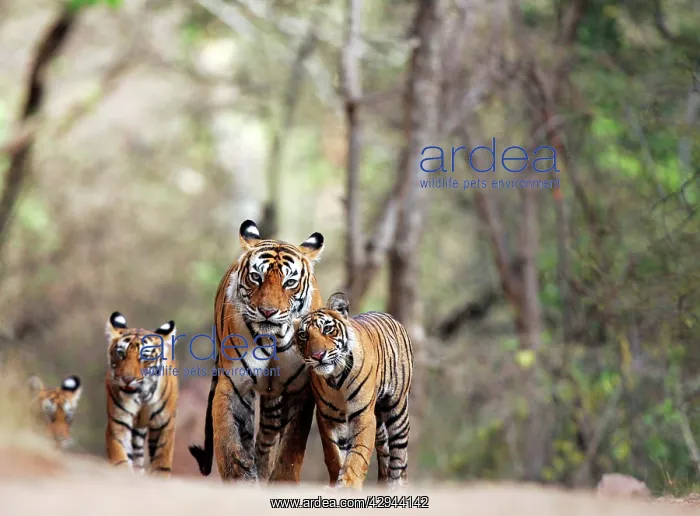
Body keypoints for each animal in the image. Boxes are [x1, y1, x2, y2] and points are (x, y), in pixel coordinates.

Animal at [105, 311, 179, 476]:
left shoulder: (164, 425)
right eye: (121, 354)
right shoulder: (118, 424)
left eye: (144, 357)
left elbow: (161, 463)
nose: (127, 379)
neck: (142, 395)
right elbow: (121, 461)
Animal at [188, 219, 325, 483]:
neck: (275, 337)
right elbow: (231, 441)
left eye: (289, 282)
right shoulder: (235, 384)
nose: (268, 312)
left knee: (267, 440)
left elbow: (291, 448)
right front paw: (240, 477)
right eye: (255, 277)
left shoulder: (300, 390)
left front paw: (282, 480)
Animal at [294, 292, 414, 489]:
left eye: (327, 329)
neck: (335, 377)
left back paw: (396, 485)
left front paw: (349, 482)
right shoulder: (328, 417)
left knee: (399, 453)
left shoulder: (363, 414)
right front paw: (336, 481)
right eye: (303, 335)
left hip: (397, 408)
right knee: (385, 451)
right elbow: (333, 454)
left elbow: (359, 451)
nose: (318, 356)